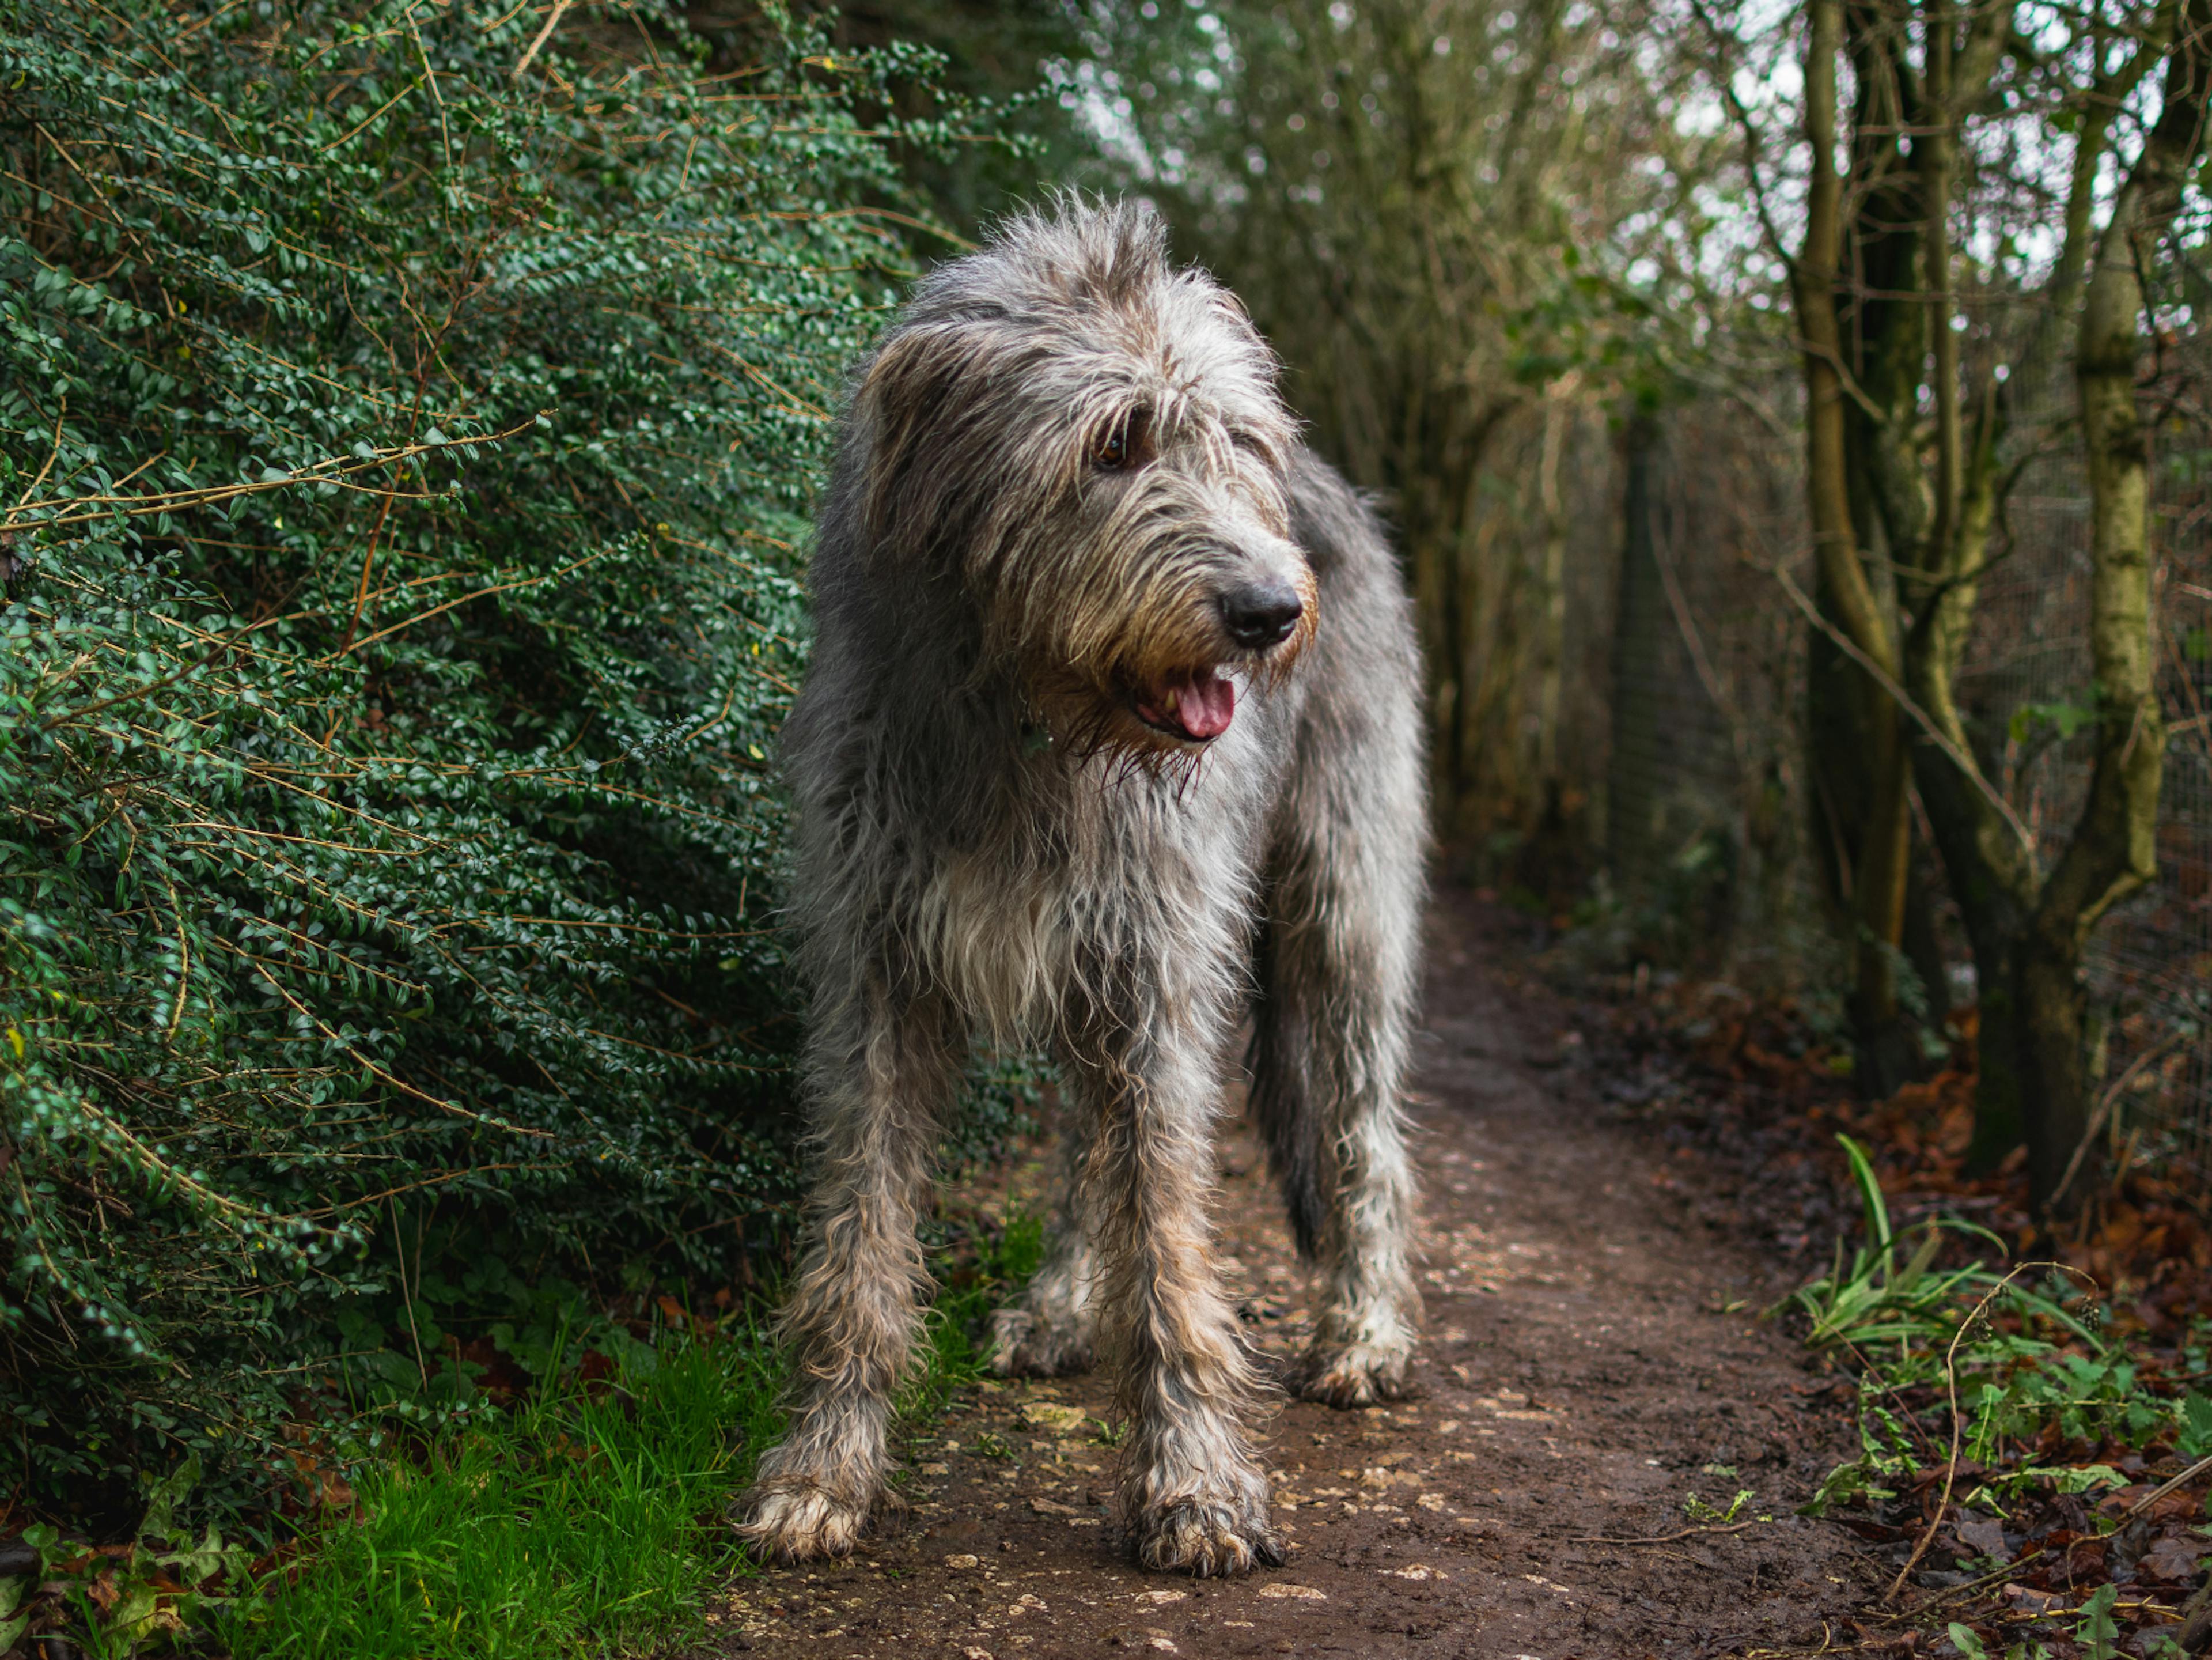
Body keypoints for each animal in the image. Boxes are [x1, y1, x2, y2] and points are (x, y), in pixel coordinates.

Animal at [738, 201, 1433, 1576]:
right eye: (1112, 445)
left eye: (1236, 443)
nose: (1270, 612)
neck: (1028, 725)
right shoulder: (876, 974)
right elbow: (861, 1235)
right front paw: (825, 1466)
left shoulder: (1160, 964)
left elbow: (1168, 1237)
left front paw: (1196, 1482)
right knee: (1081, 1137)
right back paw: (1066, 1301)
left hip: (1344, 903)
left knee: (1363, 1124)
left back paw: (1366, 1332)